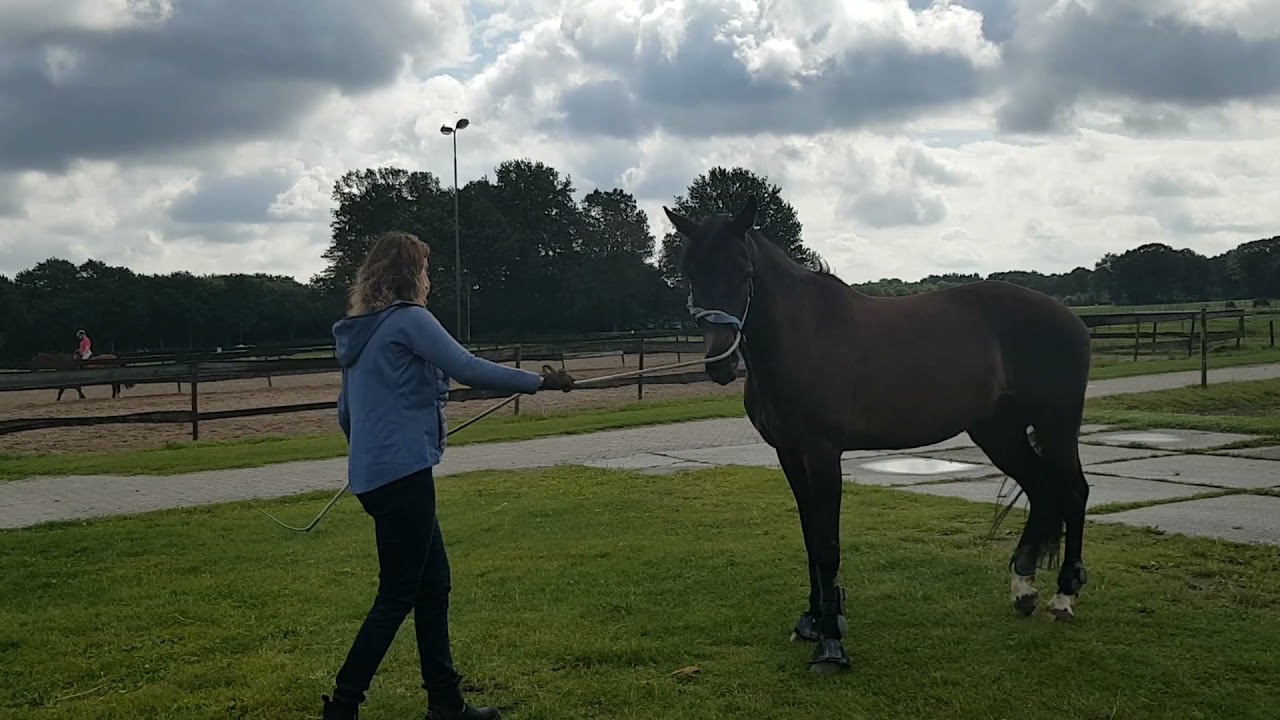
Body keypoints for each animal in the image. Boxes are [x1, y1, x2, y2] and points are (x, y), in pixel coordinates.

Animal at [663, 196, 1093, 674]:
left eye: (744, 273)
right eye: (691, 273)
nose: (719, 363)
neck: (803, 336)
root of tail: (1070, 318)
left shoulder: (822, 453)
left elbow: (827, 544)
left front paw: (831, 644)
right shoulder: (789, 454)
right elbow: (810, 537)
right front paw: (812, 620)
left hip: (1056, 425)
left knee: (1073, 492)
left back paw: (1064, 596)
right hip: (998, 431)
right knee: (1042, 491)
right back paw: (1023, 589)